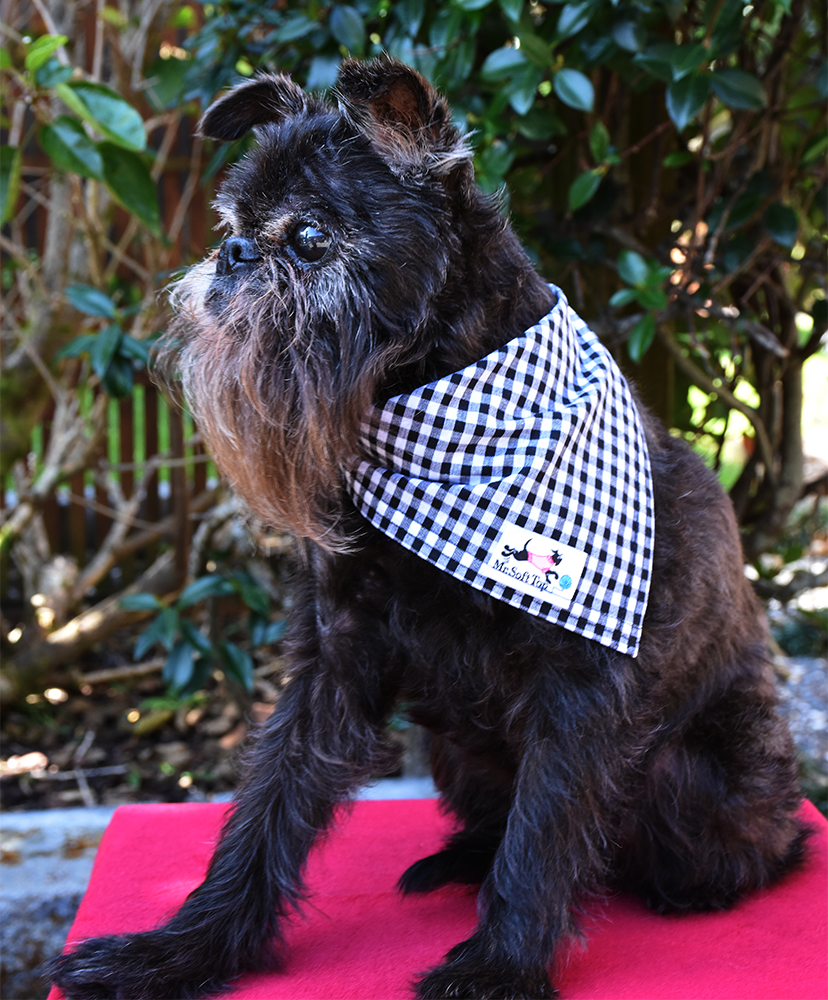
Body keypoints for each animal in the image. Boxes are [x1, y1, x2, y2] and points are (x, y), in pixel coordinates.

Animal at [51, 56, 808, 1000]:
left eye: (309, 236)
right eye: (233, 226)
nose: (233, 253)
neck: (426, 413)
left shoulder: (579, 681)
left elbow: (545, 830)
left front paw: (498, 968)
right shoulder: (335, 654)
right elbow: (264, 810)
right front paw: (185, 949)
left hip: (693, 776)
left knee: (737, 846)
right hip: (452, 745)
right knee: (496, 820)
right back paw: (456, 863)